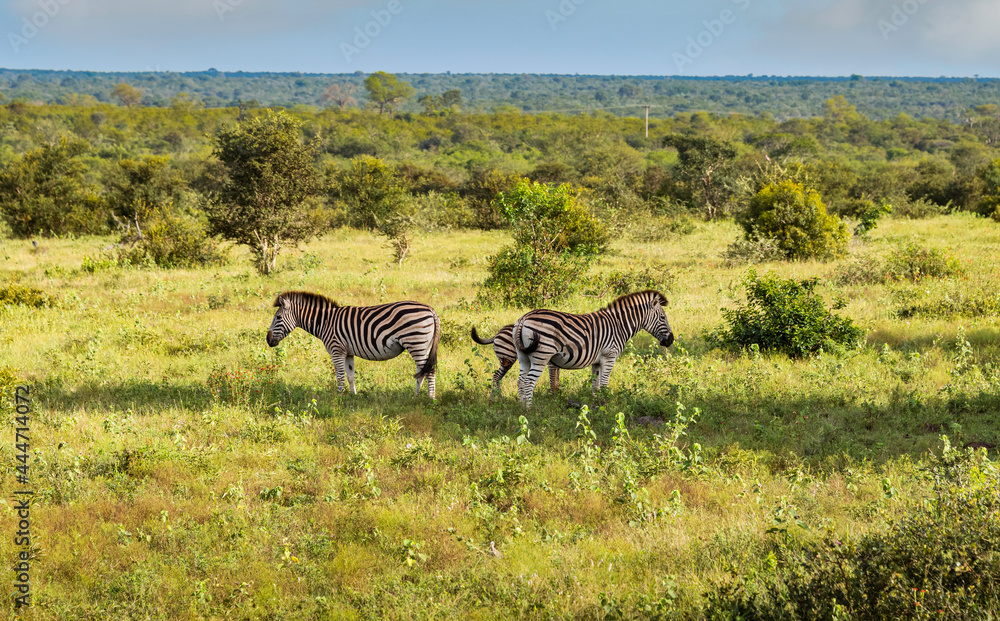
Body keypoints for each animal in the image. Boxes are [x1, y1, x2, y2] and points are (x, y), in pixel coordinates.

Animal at [266, 291, 440, 398]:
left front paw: (339, 398)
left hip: (416, 342)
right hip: (422, 346)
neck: (325, 322)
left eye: (278, 318)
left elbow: (340, 376)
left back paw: (430, 399)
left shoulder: (337, 350)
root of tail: (431, 310)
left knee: (429, 371)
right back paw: (415, 396)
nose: (268, 340)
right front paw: (352, 396)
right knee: (422, 371)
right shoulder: (348, 352)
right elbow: (350, 376)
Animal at [512, 290, 675, 408]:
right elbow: (603, 384)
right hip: (542, 355)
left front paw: (597, 404)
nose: (671, 340)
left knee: (521, 381)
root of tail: (524, 318)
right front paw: (606, 405)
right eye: (662, 318)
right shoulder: (609, 357)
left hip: (523, 356)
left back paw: (521, 407)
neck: (619, 325)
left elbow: (595, 385)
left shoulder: (597, 361)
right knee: (529, 382)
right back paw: (530, 409)